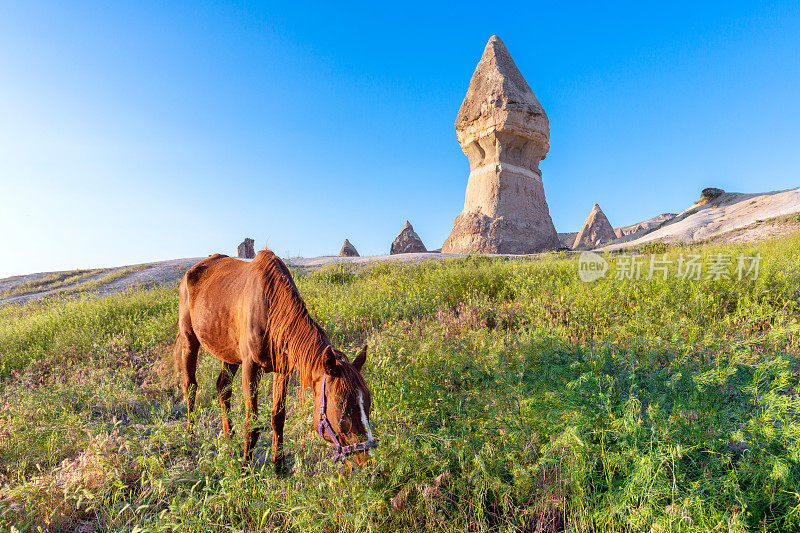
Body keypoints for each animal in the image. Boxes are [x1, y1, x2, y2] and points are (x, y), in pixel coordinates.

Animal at [173, 249, 378, 474]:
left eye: (368, 401)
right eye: (341, 405)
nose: (368, 460)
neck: (270, 310)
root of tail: (190, 273)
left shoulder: (283, 370)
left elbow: (278, 417)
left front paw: (279, 466)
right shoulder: (250, 368)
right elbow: (252, 422)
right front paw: (246, 468)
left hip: (228, 354)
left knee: (223, 389)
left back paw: (229, 439)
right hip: (190, 341)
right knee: (191, 386)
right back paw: (191, 436)